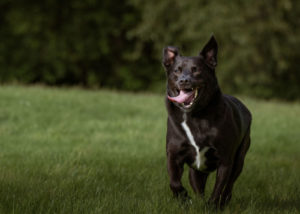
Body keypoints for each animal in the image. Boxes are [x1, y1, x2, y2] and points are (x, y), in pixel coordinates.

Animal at [163, 35, 252, 207]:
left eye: (196, 69)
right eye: (177, 70)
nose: (184, 80)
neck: (194, 116)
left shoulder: (225, 160)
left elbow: (219, 188)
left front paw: (213, 206)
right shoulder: (174, 155)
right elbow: (174, 182)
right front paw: (184, 198)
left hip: (239, 160)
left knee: (229, 185)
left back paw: (223, 202)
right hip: (196, 171)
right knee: (198, 187)